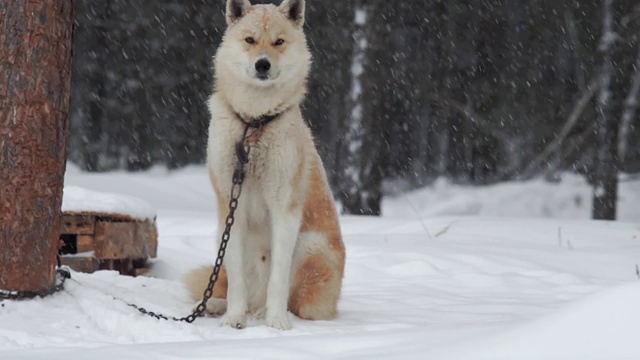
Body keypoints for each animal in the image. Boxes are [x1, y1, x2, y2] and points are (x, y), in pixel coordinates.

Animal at [184, 0, 344, 330]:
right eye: (250, 40)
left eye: (278, 42)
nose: (262, 65)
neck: (254, 122)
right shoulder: (230, 208)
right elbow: (236, 283)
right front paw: (234, 318)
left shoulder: (284, 208)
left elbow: (278, 281)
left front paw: (276, 321)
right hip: (222, 236)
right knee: (237, 286)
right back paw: (218, 306)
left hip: (309, 246)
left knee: (298, 303)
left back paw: (266, 313)